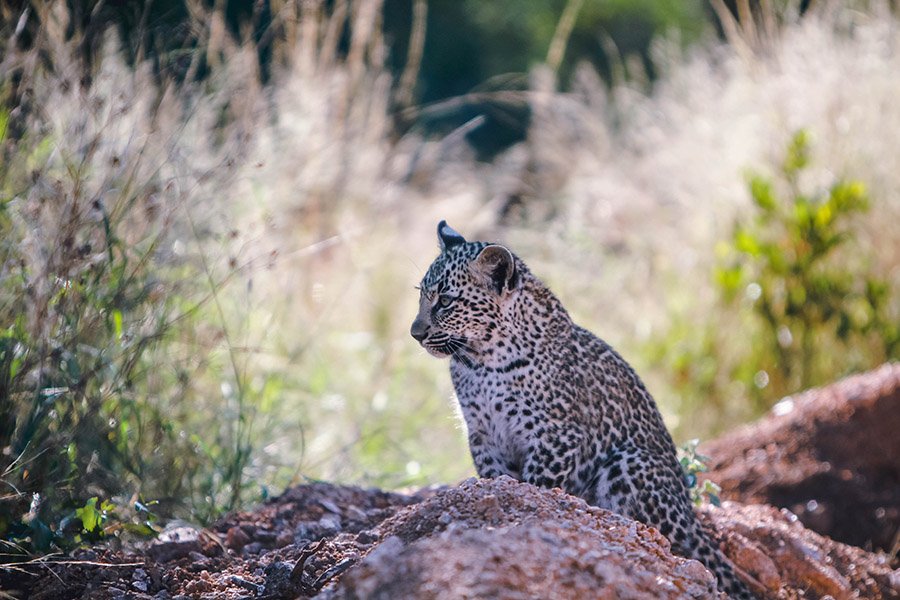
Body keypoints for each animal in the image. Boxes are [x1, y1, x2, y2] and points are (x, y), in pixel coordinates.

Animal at [410, 221, 756, 599]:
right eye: (421, 296)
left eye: (445, 301)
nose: (415, 333)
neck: (480, 362)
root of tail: (693, 518)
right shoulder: (483, 434)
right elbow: (497, 478)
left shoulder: (556, 435)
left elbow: (538, 486)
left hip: (631, 462)